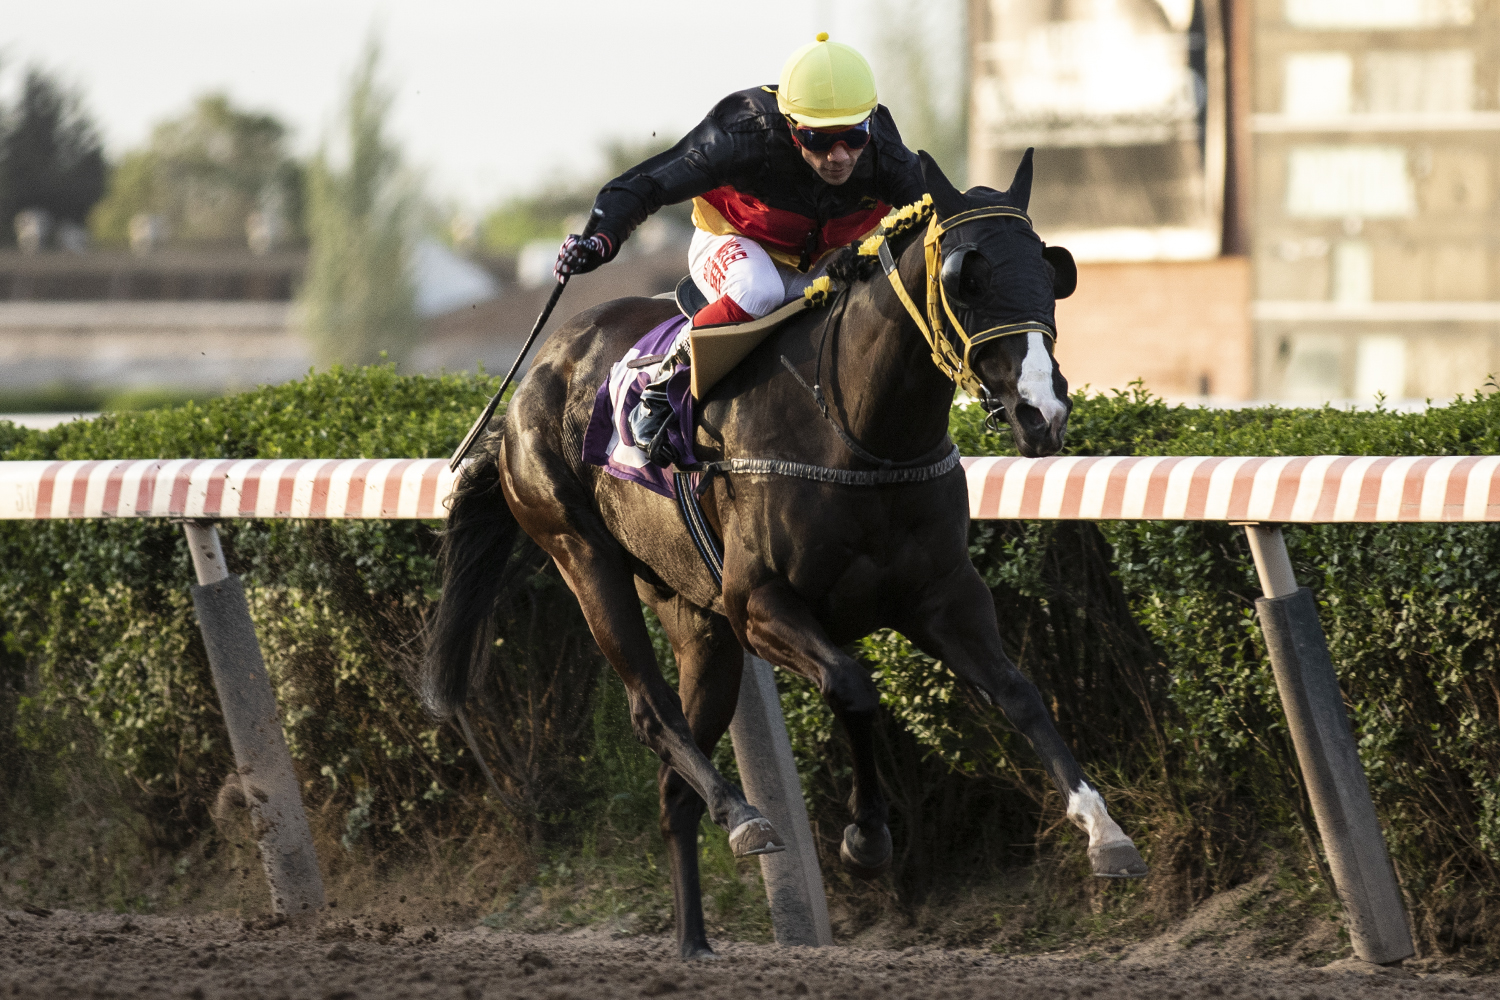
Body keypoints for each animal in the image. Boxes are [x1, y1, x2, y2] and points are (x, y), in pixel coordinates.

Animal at [423, 151, 1148, 960]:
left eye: (1053, 270)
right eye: (969, 275)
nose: (1040, 411)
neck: (856, 429)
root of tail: (528, 381)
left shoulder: (942, 596)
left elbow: (1020, 692)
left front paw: (1105, 830)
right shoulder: (760, 604)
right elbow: (854, 687)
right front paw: (867, 836)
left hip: (698, 624)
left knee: (673, 780)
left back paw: (695, 941)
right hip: (584, 558)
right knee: (652, 712)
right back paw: (742, 816)